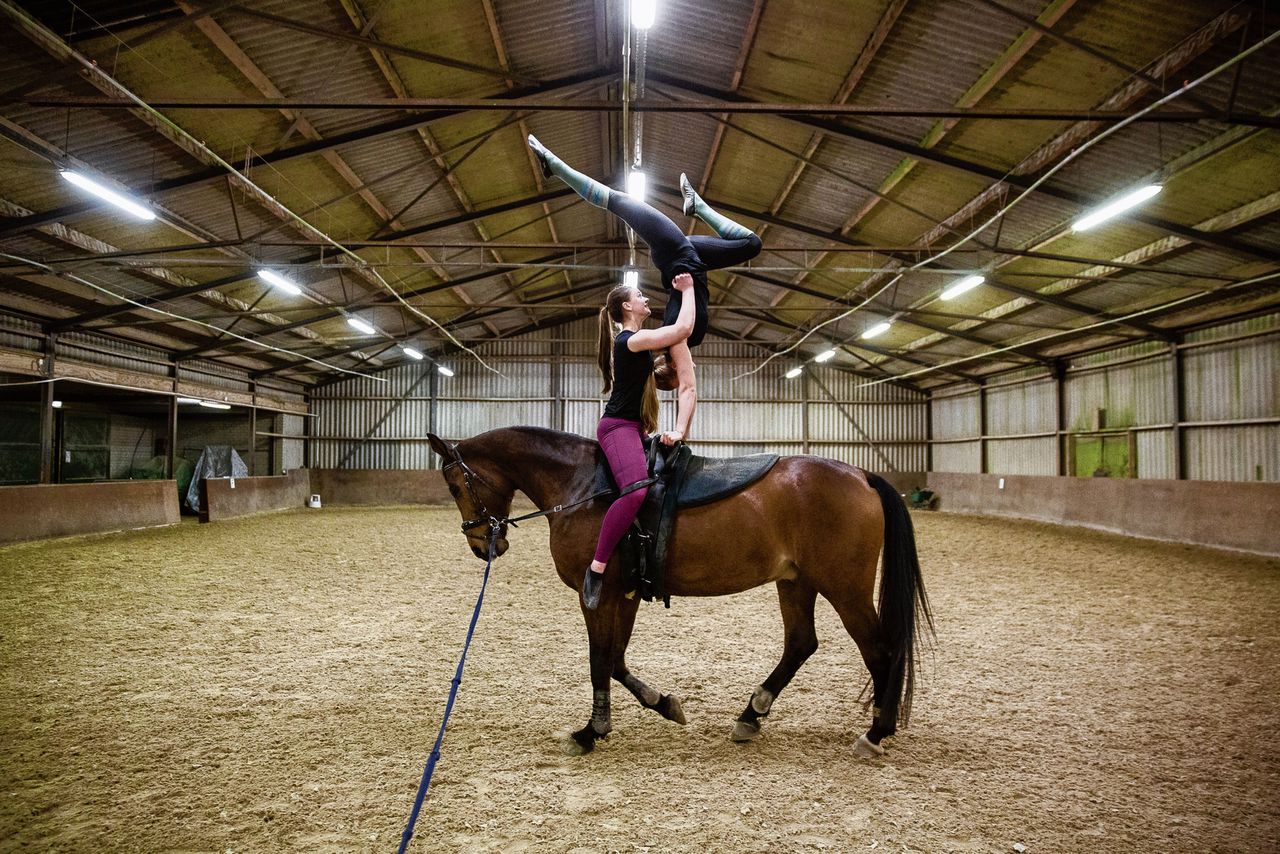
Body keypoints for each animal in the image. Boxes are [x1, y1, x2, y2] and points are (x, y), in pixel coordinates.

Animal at [424, 427, 936, 752]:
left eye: (454, 485)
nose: (482, 545)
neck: (584, 488)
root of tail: (861, 476)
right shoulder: (626, 595)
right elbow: (615, 660)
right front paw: (664, 705)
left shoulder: (597, 596)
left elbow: (599, 660)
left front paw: (592, 731)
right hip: (796, 582)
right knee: (801, 644)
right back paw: (751, 715)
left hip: (844, 588)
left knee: (879, 650)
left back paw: (876, 732)